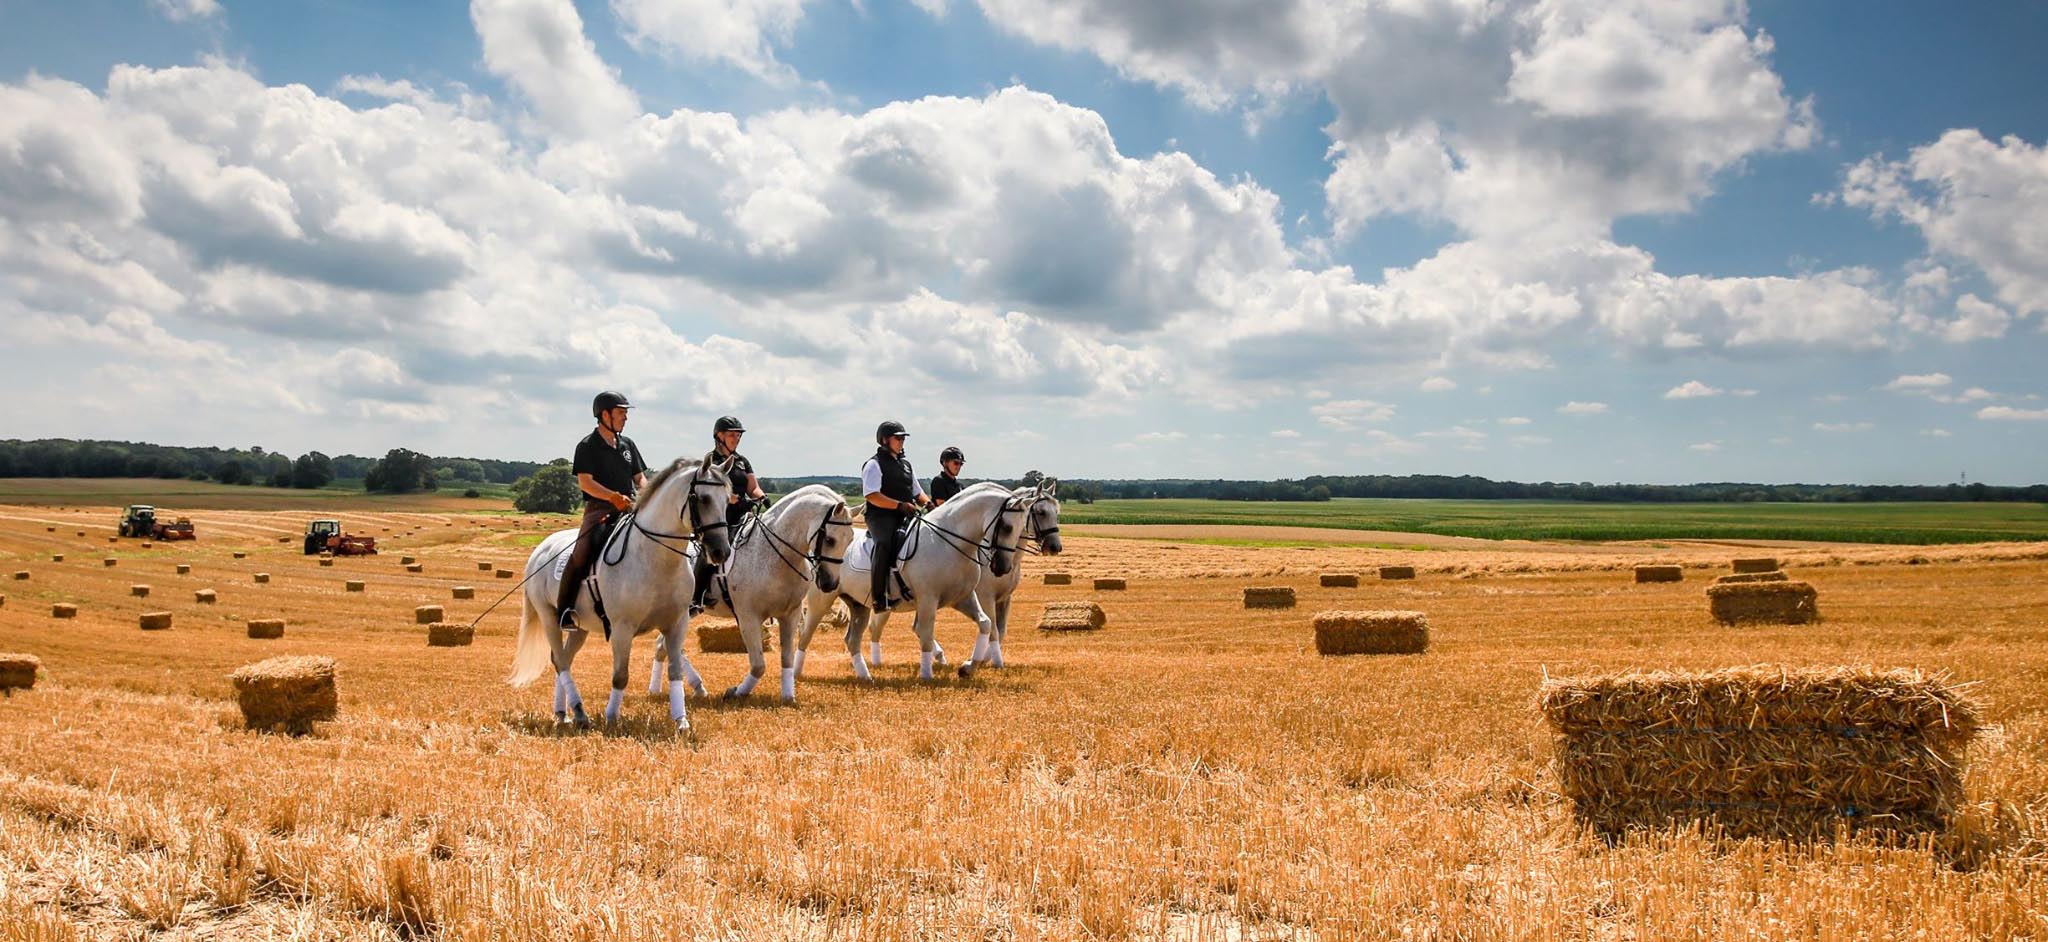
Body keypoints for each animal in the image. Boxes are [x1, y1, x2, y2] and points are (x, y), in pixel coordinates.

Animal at [505, 460, 737, 733]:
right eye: (702, 498)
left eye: (727, 500)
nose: (721, 552)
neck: (655, 558)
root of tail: (540, 549)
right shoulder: (622, 628)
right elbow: (620, 675)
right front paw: (612, 718)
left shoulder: (677, 623)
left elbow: (675, 670)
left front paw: (681, 721)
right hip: (549, 618)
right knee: (560, 661)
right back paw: (579, 712)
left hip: (579, 627)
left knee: (564, 659)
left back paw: (565, 713)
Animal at [647, 485, 856, 704]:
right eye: (830, 540)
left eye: (850, 539)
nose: (830, 583)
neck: (775, 555)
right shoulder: (748, 617)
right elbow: (758, 665)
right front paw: (736, 692)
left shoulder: (791, 614)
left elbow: (787, 658)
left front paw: (788, 696)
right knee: (666, 644)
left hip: (689, 611)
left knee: (663, 645)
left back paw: (677, 688)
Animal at [794, 481, 1032, 679]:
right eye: (1008, 527)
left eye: (1022, 527)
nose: (1002, 567)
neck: (950, 541)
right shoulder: (928, 599)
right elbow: (926, 634)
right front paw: (927, 675)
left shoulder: (962, 598)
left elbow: (985, 624)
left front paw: (967, 667)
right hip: (821, 600)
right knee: (805, 633)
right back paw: (796, 675)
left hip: (858, 605)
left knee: (852, 639)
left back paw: (865, 676)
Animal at [856, 481, 1064, 671]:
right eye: (1041, 512)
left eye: (1057, 511)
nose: (1055, 547)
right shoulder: (985, 597)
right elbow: (994, 631)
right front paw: (986, 660)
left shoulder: (1004, 598)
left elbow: (1000, 630)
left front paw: (982, 660)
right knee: (883, 626)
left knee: (906, 627)